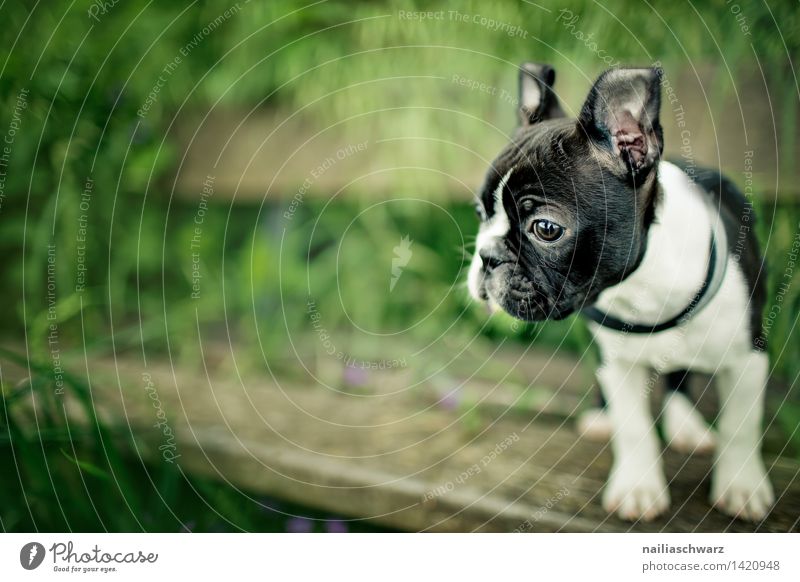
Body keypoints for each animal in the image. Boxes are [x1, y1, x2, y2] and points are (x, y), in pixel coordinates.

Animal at [468, 64, 776, 524]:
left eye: (546, 228)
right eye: (479, 213)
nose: (486, 257)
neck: (643, 285)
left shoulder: (748, 357)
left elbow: (742, 426)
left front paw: (741, 487)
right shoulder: (620, 361)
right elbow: (634, 428)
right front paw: (638, 487)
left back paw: (686, 426)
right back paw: (603, 417)